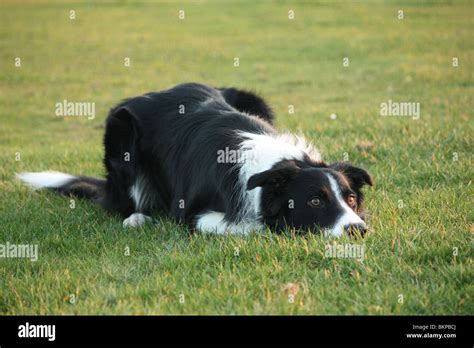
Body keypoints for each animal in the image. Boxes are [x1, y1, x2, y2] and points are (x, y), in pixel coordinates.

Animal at [18, 83, 372, 238]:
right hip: (121, 131)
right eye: (315, 201)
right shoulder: (189, 215)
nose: (358, 230)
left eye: (351, 199)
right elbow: (248, 227)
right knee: (126, 203)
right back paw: (136, 217)